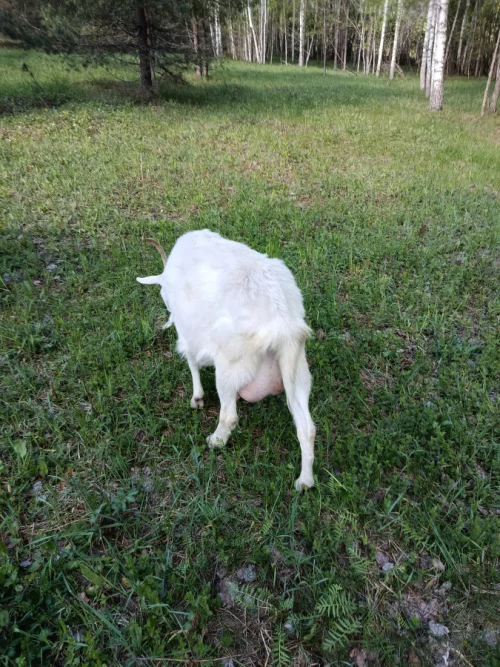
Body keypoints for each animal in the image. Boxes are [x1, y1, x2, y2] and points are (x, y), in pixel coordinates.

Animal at [137, 229, 315, 490]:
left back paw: (215, 441)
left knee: (229, 415)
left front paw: (197, 399)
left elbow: (192, 362)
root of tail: (283, 326)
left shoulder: (189, 333)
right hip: (297, 369)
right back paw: (305, 481)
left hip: (231, 367)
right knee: (306, 427)